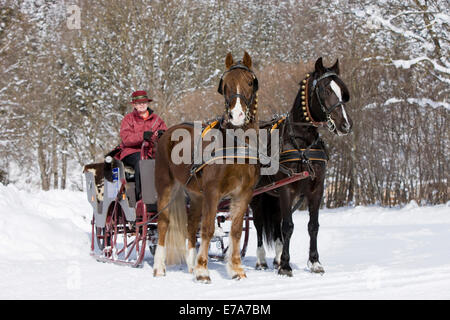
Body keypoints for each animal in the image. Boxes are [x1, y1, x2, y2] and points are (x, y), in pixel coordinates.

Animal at [154, 52, 258, 282]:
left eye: (250, 82)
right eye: (225, 85)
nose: (236, 115)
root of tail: (167, 132)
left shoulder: (243, 193)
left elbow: (236, 230)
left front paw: (237, 269)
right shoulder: (213, 191)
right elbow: (209, 228)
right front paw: (203, 271)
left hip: (195, 194)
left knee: (192, 225)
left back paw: (191, 266)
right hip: (166, 186)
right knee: (164, 223)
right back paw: (159, 267)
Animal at [253, 57, 352, 276]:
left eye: (342, 90)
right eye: (325, 90)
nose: (345, 125)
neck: (302, 141)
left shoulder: (317, 189)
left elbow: (312, 225)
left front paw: (314, 262)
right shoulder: (286, 189)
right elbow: (288, 226)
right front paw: (286, 266)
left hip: (273, 196)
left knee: (276, 224)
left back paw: (275, 259)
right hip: (255, 196)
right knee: (258, 224)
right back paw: (261, 260)